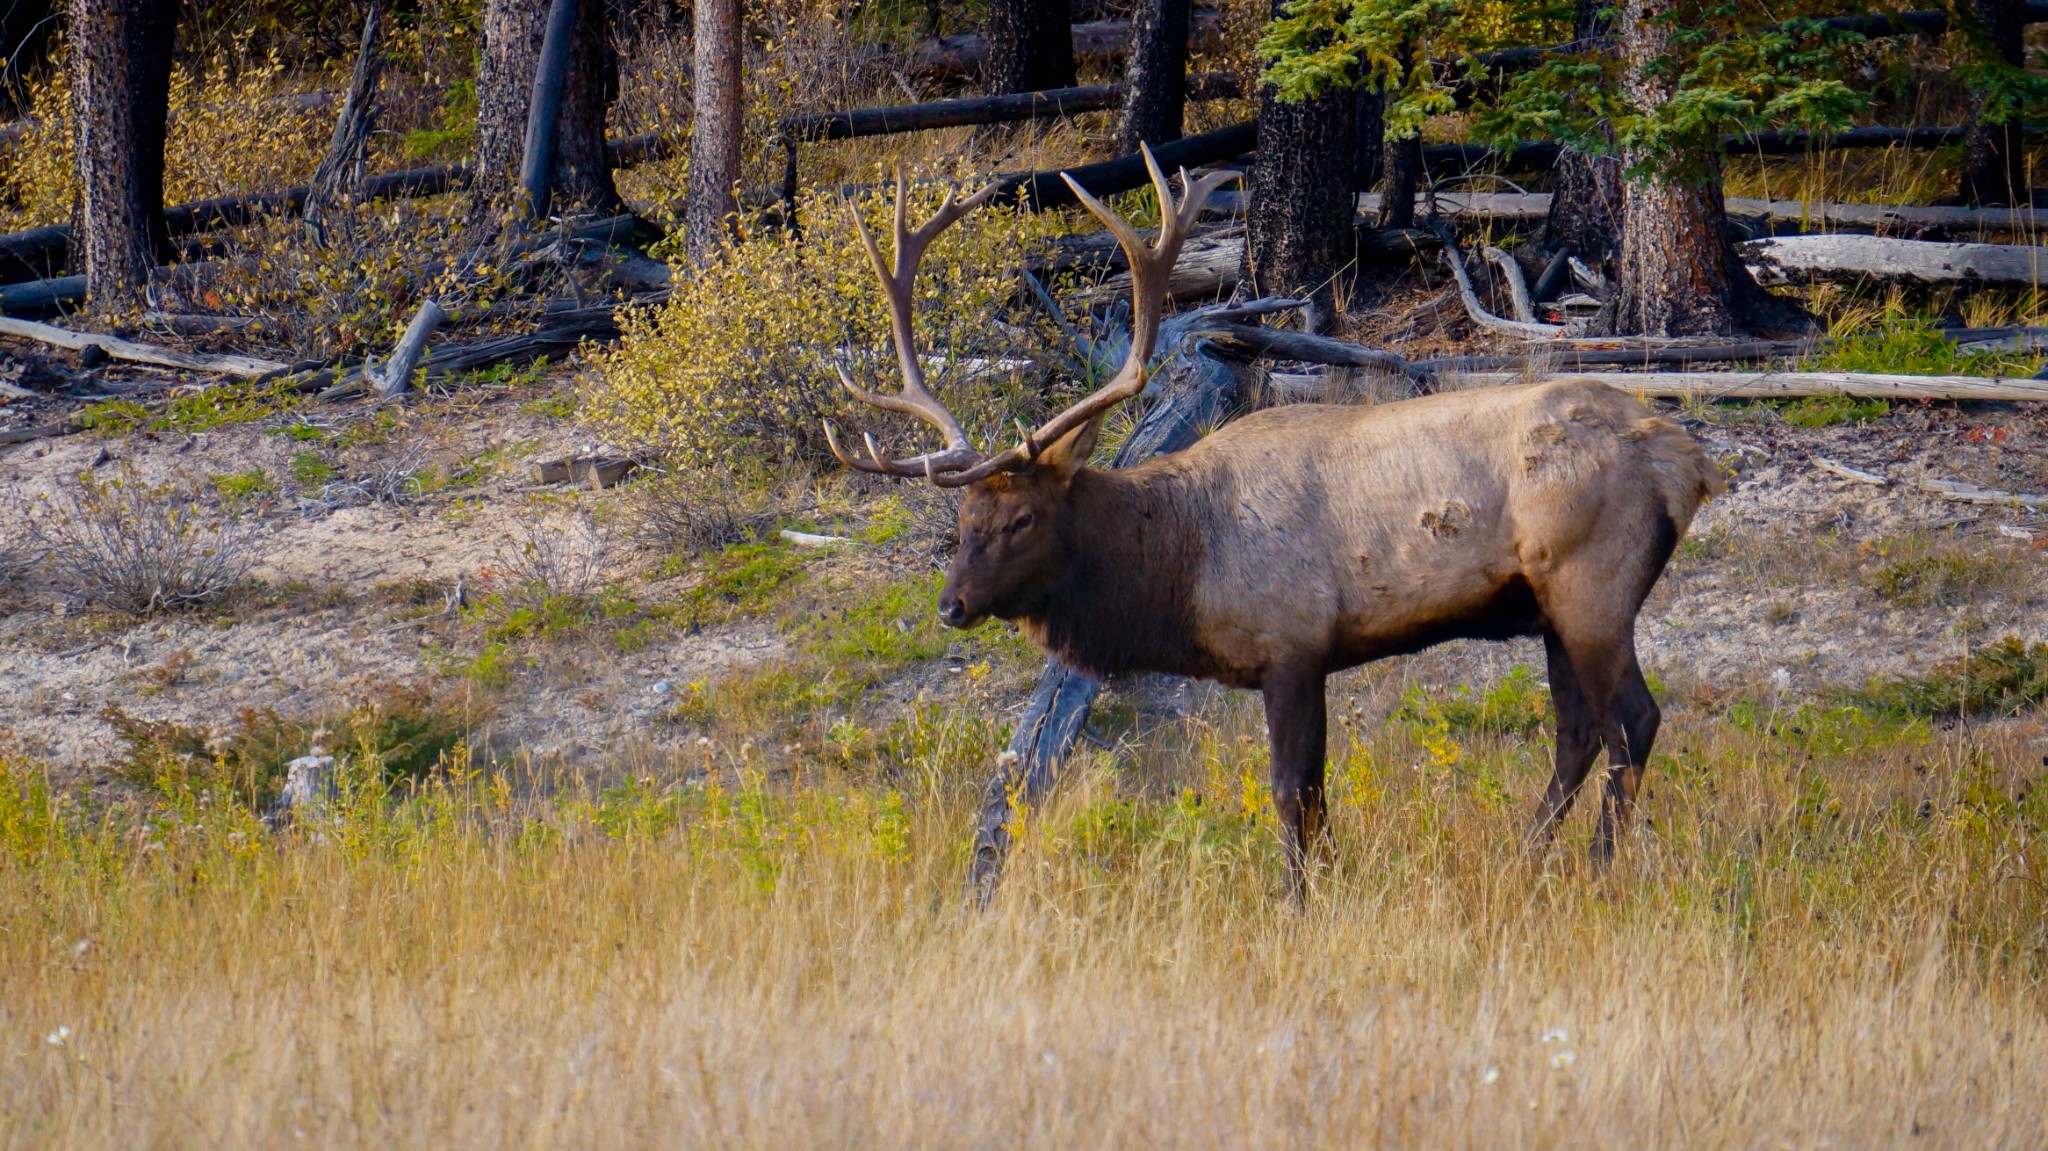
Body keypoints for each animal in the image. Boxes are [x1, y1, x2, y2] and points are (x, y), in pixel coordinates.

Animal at [823, 147, 1720, 892]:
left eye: (1021, 520)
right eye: (963, 517)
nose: (953, 604)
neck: (1181, 569)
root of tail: (1687, 460)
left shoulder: (1291, 641)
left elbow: (1293, 789)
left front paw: (1298, 898)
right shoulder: (1303, 654)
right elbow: (1316, 792)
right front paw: (1325, 884)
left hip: (1591, 584)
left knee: (1632, 722)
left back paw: (1596, 873)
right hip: (1547, 609)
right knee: (1578, 732)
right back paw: (1526, 859)